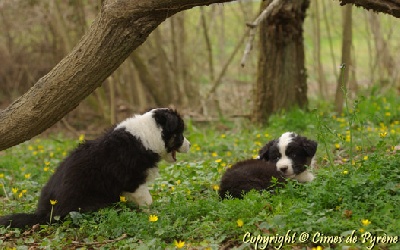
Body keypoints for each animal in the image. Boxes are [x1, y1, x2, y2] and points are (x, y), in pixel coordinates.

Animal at [0, 107, 191, 229]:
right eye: (180, 134)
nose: (189, 145)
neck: (149, 135)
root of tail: (46, 213)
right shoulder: (134, 181)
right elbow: (147, 200)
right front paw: (152, 214)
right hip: (93, 204)